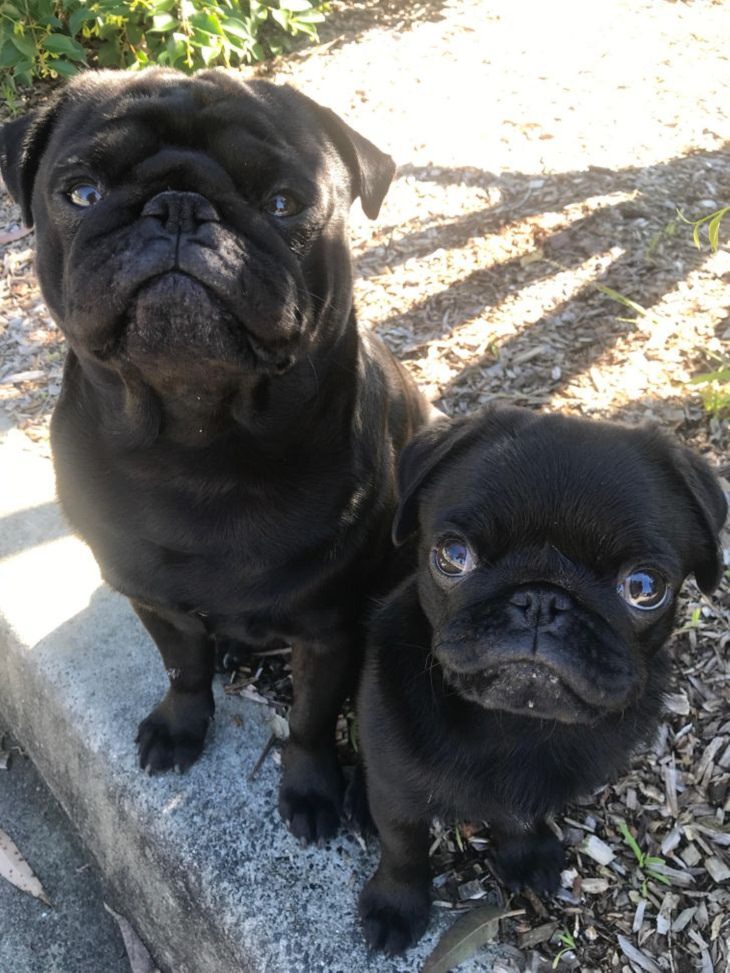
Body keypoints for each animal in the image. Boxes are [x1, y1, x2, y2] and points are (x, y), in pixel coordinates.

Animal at [0, 68, 430, 844]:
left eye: (285, 203)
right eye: (80, 193)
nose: (177, 208)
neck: (196, 441)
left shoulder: (327, 633)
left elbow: (312, 721)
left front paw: (312, 789)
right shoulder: (153, 598)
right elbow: (183, 669)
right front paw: (179, 727)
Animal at [356, 404, 724, 948]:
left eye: (644, 587)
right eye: (453, 556)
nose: (541, 601)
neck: (516, 726)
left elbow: (520, 817)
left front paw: (525, 857)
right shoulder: (394, 790)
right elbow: (403, 849)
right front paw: (395, 907)